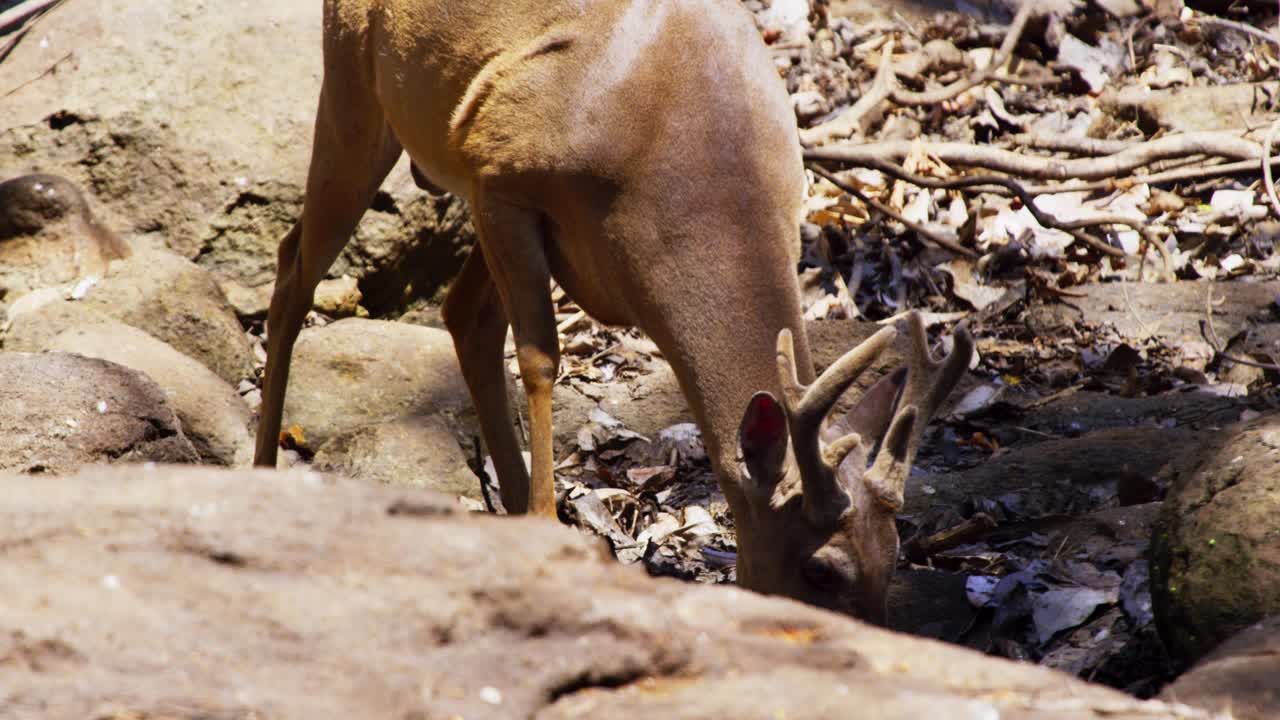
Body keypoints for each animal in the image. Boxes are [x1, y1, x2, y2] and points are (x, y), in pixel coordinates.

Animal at [254, 0, 972, 620]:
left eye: (894, 555)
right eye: (820, 568)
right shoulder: (501, 171)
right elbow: (541, 358)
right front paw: (547, 524)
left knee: (461, 315)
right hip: (354, 89)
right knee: (293, 270)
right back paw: (262, 471)